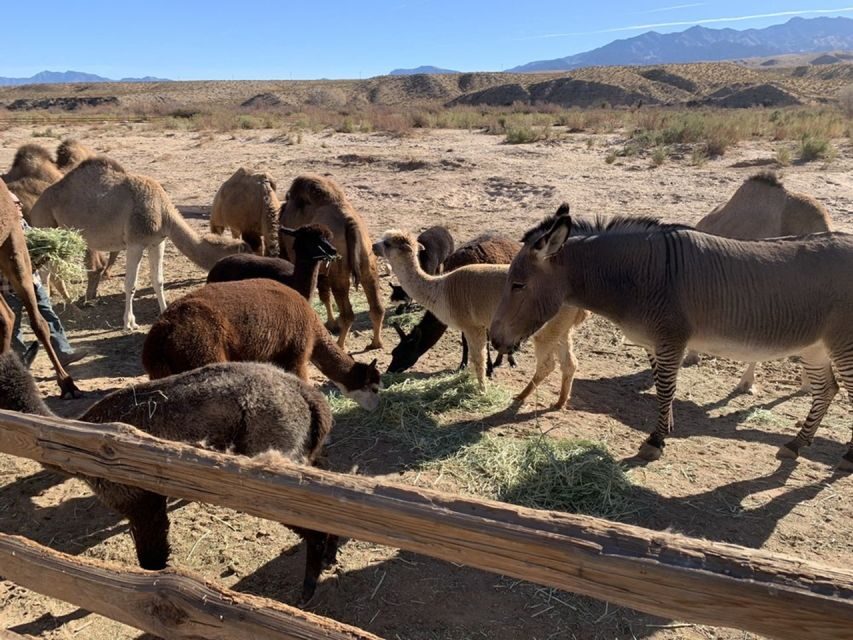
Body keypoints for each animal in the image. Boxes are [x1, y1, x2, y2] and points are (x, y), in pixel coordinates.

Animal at [29, 157, 252, 330]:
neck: (164, 211)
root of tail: (35, 207)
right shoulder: (135, 243)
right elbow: (131, 284)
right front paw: (129, 324)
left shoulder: (158, 242)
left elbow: (158, 280)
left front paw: (164, 312)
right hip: (48, 227)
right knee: (48, 273)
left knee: (48, 273)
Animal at [280, 174, 384, 350]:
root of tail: (349, 221)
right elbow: (324, 295)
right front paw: (331, 324)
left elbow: (323, 295)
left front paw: (330, 325)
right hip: (368, 266)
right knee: (377, 307)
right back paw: (375, 343)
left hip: (339, 275)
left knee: (347, 313)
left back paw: (340, 345)